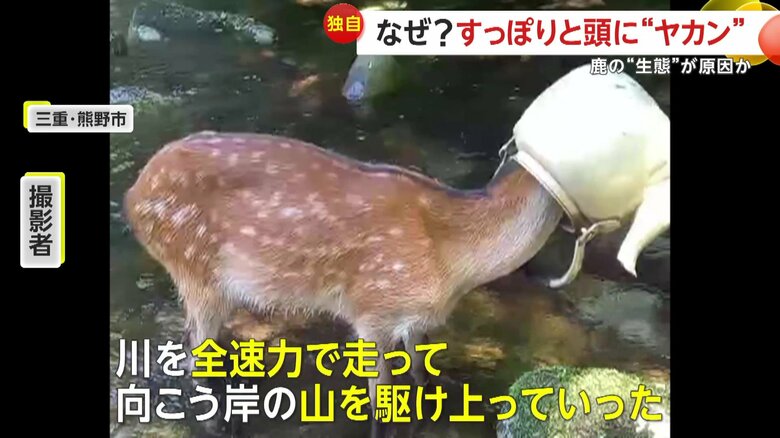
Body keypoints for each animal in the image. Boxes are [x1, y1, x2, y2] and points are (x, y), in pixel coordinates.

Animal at [124, 130, 564, 436]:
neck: (452, 262)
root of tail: (133, 195)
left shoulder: (415, 321)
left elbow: (424, 378)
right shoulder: (371, 309)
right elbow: (381, 401)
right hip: (195, 268)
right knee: (195, 354)